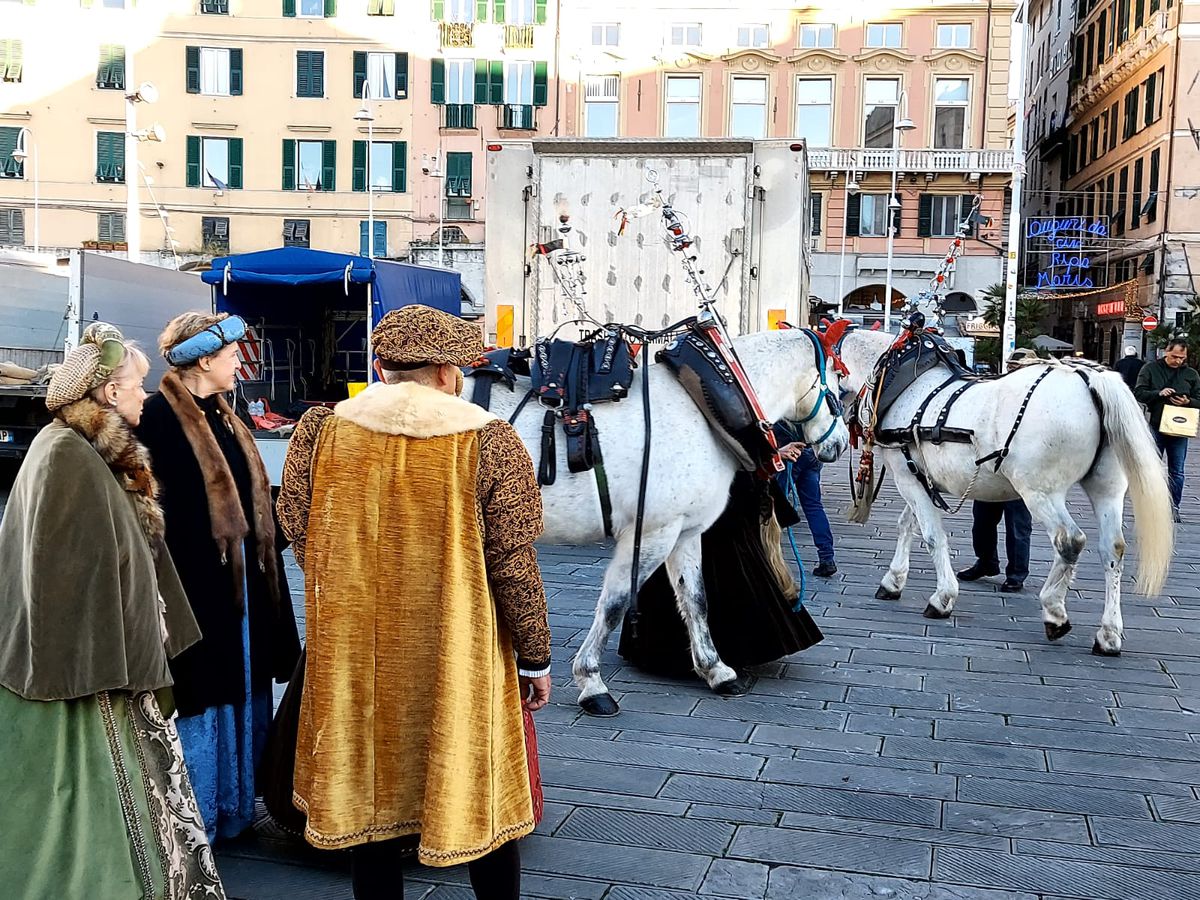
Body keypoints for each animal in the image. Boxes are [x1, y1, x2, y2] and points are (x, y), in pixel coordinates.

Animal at [482, 331, 849, 720]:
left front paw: (716, 670)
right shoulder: (652, 532)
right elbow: (615, 603)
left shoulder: (685, 532)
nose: (841, 443)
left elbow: (695, 598)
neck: (703, 404)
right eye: (839, 381)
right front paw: (592, 682)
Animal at [835, 328, 1171, 657]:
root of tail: (1088, 377)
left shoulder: (906, 476)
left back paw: (1055, 612)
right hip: (1107, 489)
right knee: (1112, 549)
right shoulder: (919, 478)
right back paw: (1108, 634)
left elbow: (932, 536)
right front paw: (893, 581)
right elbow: (907, 525)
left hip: (1039, 491)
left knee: (1069, 540)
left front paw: (942, 597)